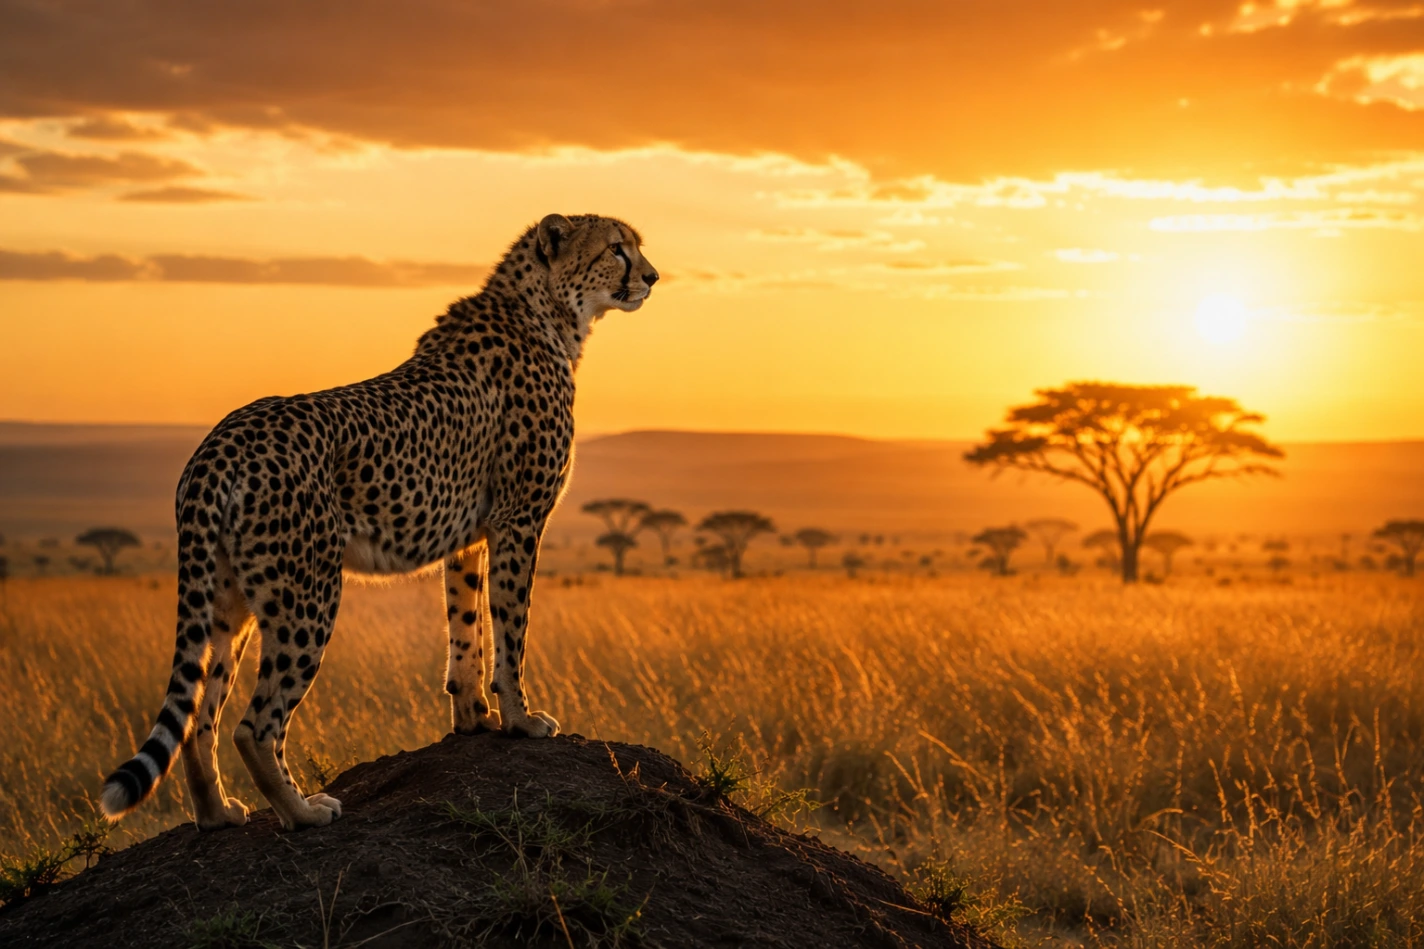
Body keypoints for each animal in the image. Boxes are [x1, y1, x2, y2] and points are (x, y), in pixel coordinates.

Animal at [99, 213, 658, 832]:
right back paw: (303, 811)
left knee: (201, 713)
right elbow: (511, 628)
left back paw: (218, 813)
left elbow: (466, 629)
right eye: (617, 249)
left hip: (228, 600)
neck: (548, 312)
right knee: (256, 724)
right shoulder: (519, 520)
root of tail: (221, 442)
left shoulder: (470, 539)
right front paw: (521, 720)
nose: (653, 277)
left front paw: (474, 719)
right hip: (307, 594)